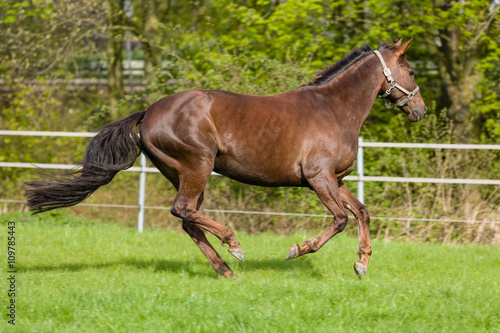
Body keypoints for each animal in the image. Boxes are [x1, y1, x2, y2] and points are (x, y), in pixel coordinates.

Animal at [25, 38, 426, 278]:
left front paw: (361, 264)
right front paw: (297, 249)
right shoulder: (318, 178)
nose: (420, 111)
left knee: (187, 219)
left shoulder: (336, 179)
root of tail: (148, 112)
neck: (333, 108)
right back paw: (234, 246)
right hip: (197, 167)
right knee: (184, 211)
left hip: (181, 172)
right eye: (411, 70)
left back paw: (225, 269)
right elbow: (341, 219)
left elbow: (361, 212)